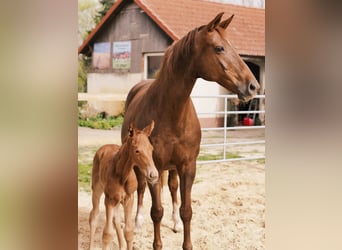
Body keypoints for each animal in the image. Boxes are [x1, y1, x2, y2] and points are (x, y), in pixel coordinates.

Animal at [88, 120, 158, 249]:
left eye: (151, 149)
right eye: (137, 151)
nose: (153, 175)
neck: (122, 174)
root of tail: (104, 147)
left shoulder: (129, 199)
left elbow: (129, 232)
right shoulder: (109, 199)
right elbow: (107, 235)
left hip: (118, 199)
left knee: (116, 220)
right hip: (97, 189)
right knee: (94, 216)